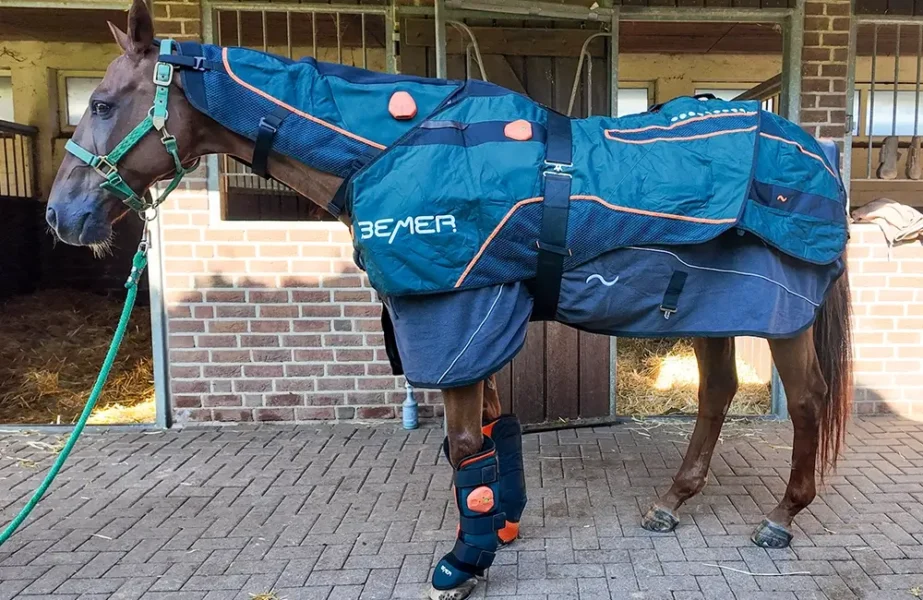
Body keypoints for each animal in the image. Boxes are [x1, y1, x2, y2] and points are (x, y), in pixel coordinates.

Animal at [46, 2, 852, 599]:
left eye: (103, 103)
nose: (63, 215)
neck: (392, 148)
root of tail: (810, 150)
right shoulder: (475, 318)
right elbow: (495, 434)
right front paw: (500, 527)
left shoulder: (457, 315)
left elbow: (466, 447)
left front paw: (463, 562)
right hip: (712, 309)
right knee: (716, 394)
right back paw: (671, 503)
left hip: (778, 315)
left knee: (809, 402)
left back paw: (782, 516)